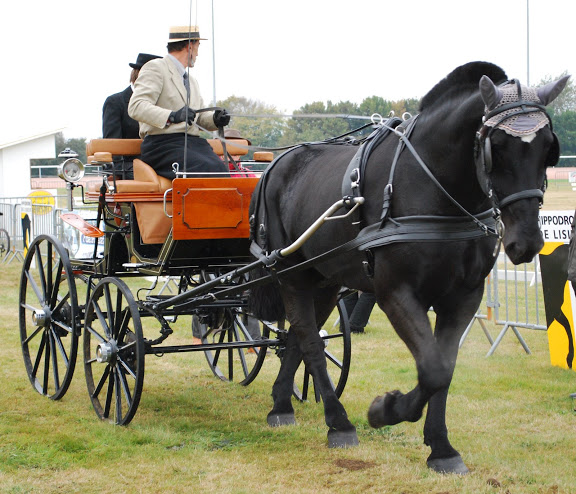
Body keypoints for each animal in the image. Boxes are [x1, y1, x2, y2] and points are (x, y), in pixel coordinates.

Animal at [248, 62, 568, 474]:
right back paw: (338, 422)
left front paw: (442, 448)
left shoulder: (464, 296)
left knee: (300, 335)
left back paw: (281, 404)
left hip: (326, 279)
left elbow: (444, 368)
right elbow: (432, 367)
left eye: (549, 148)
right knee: (309, 339)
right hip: (292, 274)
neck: (434, 185)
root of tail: (275, 164)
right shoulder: (396, 294)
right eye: (495, 147)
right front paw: (385, 410)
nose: (526, 241)